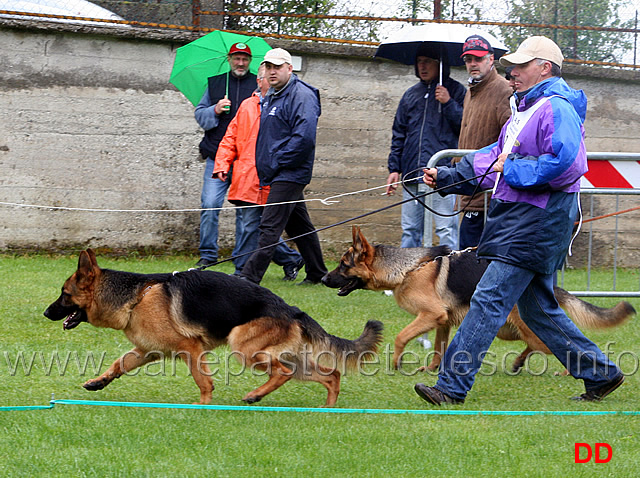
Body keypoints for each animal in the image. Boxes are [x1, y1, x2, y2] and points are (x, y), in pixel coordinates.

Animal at [46, 248, 384, 406]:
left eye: (64, 294)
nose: (47, 312)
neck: (137, 297)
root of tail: (292, 310)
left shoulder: (190, 349)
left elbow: (203, 381)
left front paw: (203, 407)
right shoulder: (146, 351)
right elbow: (119, 364)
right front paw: (98, 382)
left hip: (244, 347)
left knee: (284, 372)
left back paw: (255, 396)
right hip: (284, 355)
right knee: (330, 374)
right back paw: (328, 408)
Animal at [322, 226, 632, 372]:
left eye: (343, 264)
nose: (323, 279)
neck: (409, 268)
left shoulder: (430, 315)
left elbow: (401, 336)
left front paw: (397, 364)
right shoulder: (443, 321)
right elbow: (439, 348)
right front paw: (431, 369)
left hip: (521, 328)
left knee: (556, 347)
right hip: (511, 330)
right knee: (542, 345)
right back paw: (519, 364)